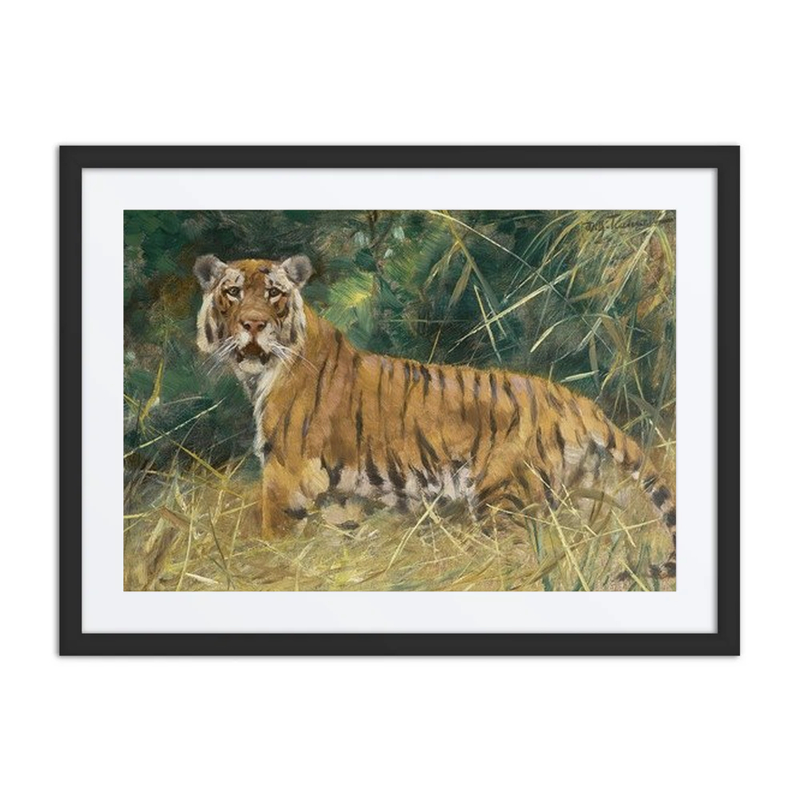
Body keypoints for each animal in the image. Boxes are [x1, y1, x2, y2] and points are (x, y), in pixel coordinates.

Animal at [193, 253, 676, 578]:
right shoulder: (340, 495)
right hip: (575, 497)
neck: (260, 375)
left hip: (505, 498)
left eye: (273, 293)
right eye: (233, 292)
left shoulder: (286, 475)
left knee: (523, 556)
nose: (253, 324)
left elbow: (271, 536)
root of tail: (575, 399)